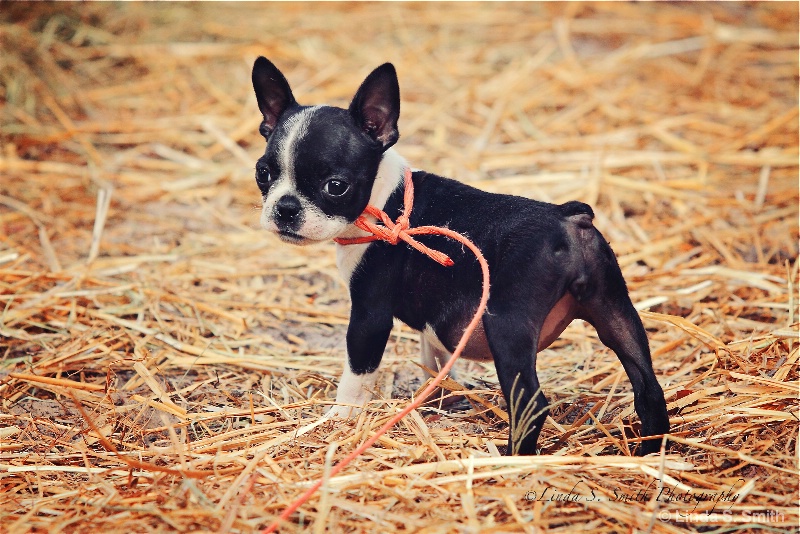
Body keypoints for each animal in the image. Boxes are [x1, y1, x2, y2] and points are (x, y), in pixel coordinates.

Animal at [250, 59, 668, 460]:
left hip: (507, 324)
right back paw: (650, 452)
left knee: (531, 403)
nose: (285, 208)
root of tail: (570, 218)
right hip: (615, 309)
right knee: (648, 389)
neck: (384, 199)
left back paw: (510, 460)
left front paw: (340, 421)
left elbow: (357, 374)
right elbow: (433, 356)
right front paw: (434, 401)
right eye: (263, 173)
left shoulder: (370, 315)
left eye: (335, 187)